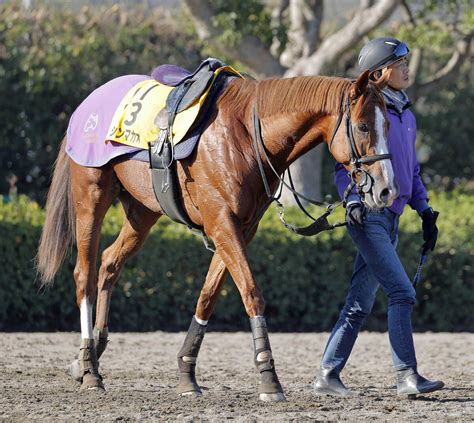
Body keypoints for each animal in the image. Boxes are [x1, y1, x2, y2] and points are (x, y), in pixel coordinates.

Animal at [37, 68, 396, 400]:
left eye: (388, 127)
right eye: (363, 127)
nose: (387, 190)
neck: (247, 136)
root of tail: (87, 105)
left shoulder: (240, 229)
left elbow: (207, 297)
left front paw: (186, 372)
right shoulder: (222, 223)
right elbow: (251, 292)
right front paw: (268, 377)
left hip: (142, 211)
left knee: (110, 263)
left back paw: (91, 354)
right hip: (91, 198)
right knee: (84, 274)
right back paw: (90, 368)